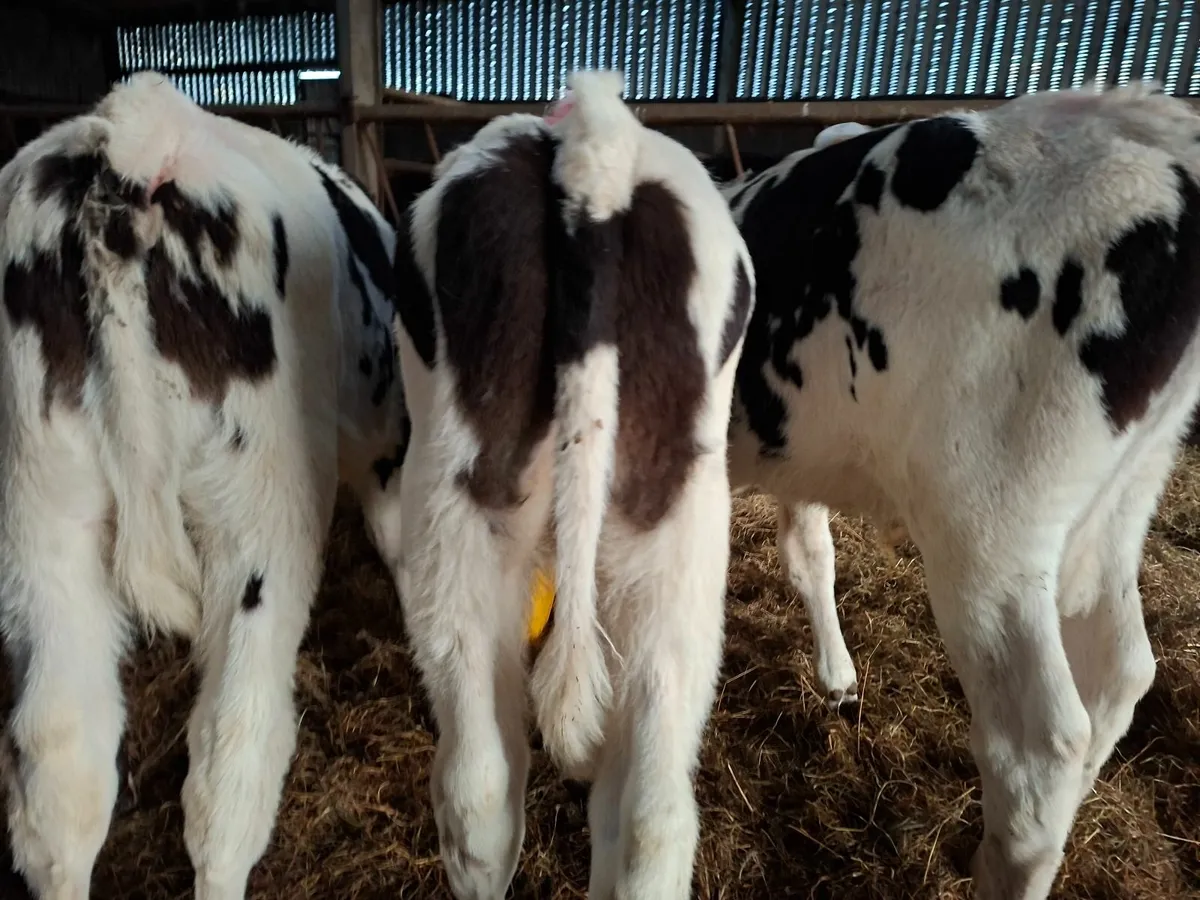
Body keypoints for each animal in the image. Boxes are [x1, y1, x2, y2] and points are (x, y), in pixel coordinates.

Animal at [0, 72, 408, 900]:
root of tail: (133, 138)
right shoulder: (383, 429)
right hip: (259, 512)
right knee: (231, 758)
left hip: (40, 506)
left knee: (63, 763)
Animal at [719, 81, 1200, 900]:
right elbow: (809, 552)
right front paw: (838, 677)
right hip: (1120, 498)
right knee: (1122, 669)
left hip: (987, 523)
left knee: (1036, 745)